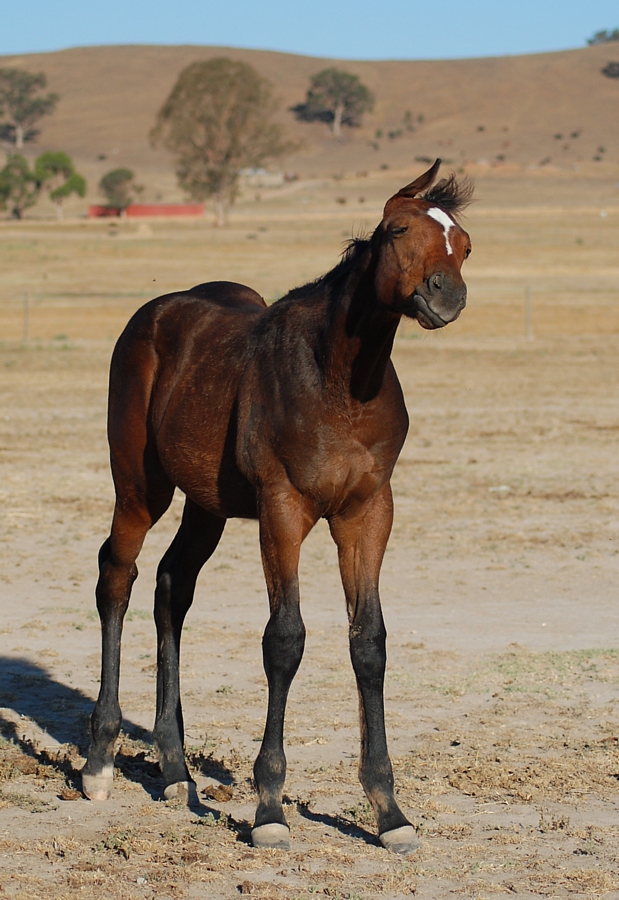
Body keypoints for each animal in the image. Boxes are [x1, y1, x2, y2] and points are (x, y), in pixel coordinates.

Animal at [80, 158, 472, 856]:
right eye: (400, 229)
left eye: (466, 244)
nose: (445, 294)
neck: (339, 384)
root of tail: (152, 316)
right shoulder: (283, 509)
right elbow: (284, 640)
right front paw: (269, 808)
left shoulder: (368, 514)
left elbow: (369, 642)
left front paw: (389, 811)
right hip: (140, 489)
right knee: (116, 579)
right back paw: (100, 762)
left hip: (204, 507)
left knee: (171, 588)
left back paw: (177, 772)